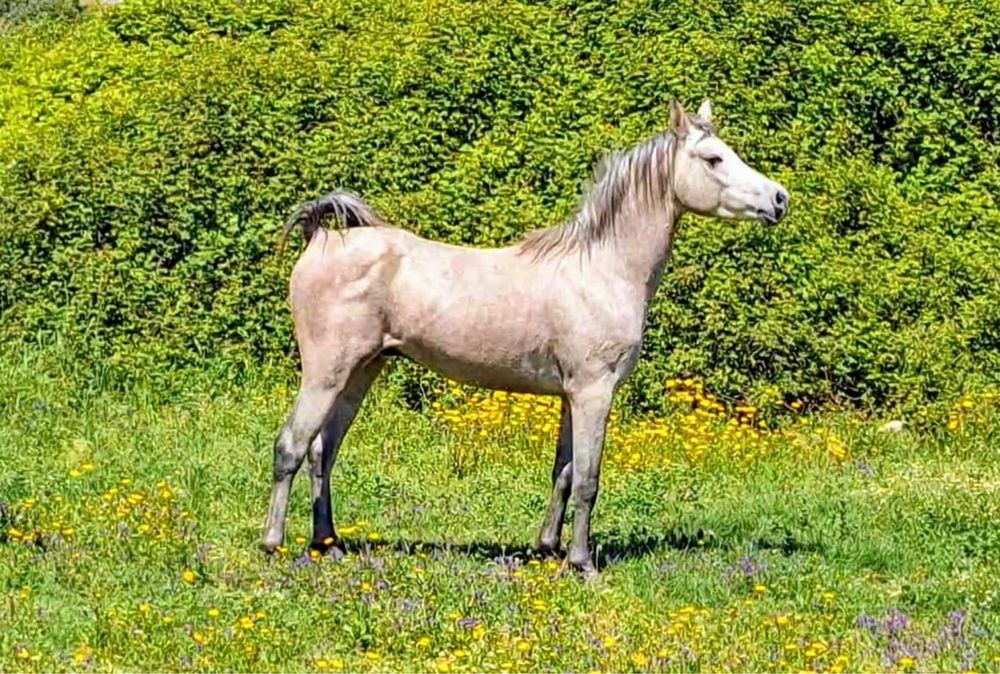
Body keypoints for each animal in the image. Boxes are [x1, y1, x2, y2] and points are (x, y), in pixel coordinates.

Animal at [261, 100, 790, 578]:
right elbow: (588, 479)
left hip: (360, 373)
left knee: (323, 452)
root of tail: (321, 239)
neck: (602, 269)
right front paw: (582, 563)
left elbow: (564, 473)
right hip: (325, 374)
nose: (779, 199)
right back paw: (273, 544)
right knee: (291, 448)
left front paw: (547, 548)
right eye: (714, 158)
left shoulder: (571, 396)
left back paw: (328, 544)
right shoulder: (594, 392)